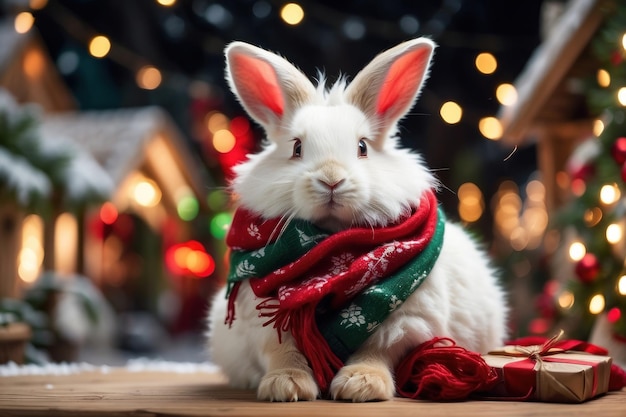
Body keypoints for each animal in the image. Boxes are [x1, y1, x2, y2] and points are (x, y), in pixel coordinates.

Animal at [207, 37, 504, 402]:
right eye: (296, 147)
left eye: (362, 147)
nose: (331, 179)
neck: (334, 258)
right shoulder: (263, 323)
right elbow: (283, 352)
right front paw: (286, 386)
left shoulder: (404, 319)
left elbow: (377, 350)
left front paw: (361, 385)